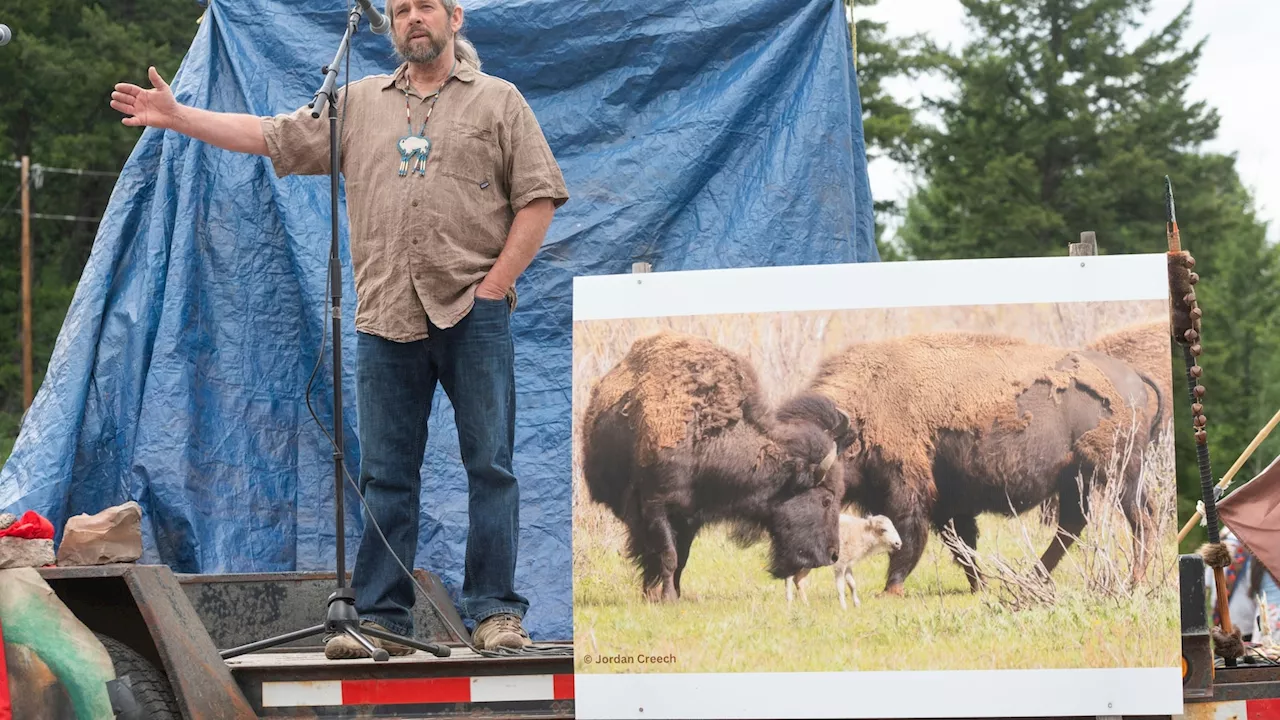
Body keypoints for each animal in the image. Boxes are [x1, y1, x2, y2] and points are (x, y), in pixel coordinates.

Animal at [581, 330, 849, 599]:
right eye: (826, 500)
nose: (833, 554)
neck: (707, 437)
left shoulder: (690, 517)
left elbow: (682, 558)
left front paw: (676, 593)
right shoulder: (657, 506)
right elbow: (669, 555)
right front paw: (668, 598)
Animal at [803, 333, 1167, 591]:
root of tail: (1133, 376)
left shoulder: (910, 492)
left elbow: (909, 537)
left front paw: (891, 589)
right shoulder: (949, 502)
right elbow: (962, 544)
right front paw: (980, 586)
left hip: (1119, 474)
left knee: (1139, 520)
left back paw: (1132, 582)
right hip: (1079, 479)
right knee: (1076, 523)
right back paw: (1033, 579)